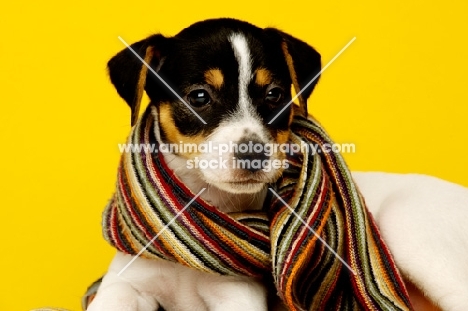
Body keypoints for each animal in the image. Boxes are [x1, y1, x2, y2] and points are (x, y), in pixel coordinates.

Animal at [87, 18, 468, 310]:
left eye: (274, 95)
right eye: (199, 97)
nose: (252, 152)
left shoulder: (237, 297)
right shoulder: (124, 286)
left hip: (406, 227)